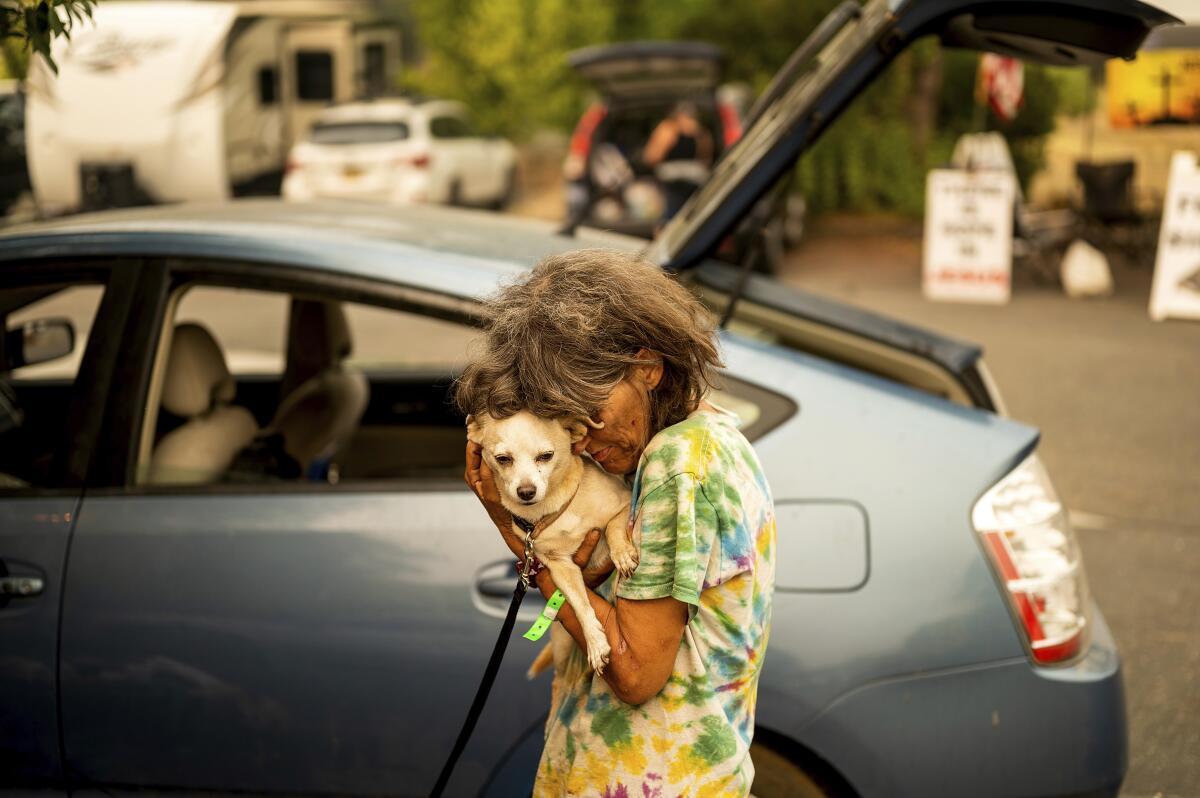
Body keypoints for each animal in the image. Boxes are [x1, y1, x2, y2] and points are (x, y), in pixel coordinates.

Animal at [468, 408, 638, 676]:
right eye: (503, 459)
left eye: (546, 456)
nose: (526, 492)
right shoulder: (560, 567)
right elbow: (580, 603)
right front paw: (595, 642)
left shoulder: (624, 504)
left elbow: (611, 527)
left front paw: (621, 555)